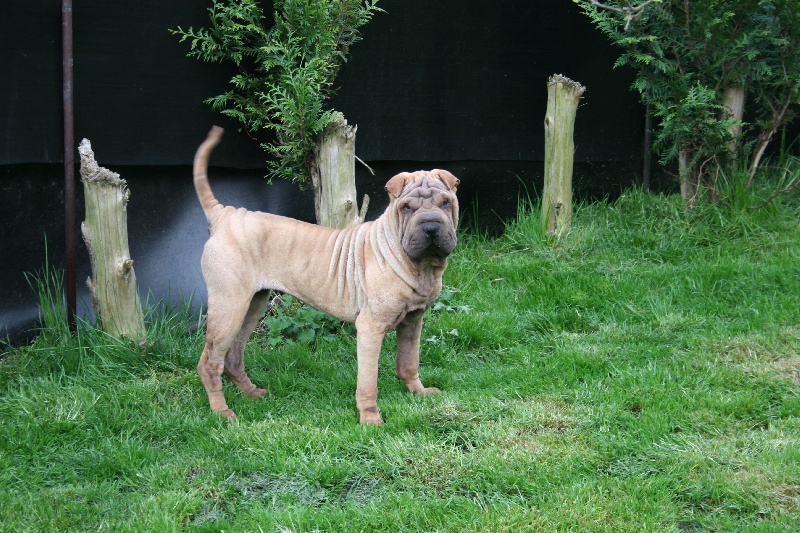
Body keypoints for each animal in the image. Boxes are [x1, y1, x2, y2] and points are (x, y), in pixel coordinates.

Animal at [193, 126, 460, 425]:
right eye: (407, 208)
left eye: (445, 203)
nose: (431, 227)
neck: (418, 265)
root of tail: (225, 214)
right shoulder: (370, 327)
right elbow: (368, 381)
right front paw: (370, 419)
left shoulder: (413, 321)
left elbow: (409, 362)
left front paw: (419, 392)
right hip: (229, 306)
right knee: (209, 363)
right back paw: (222, 412)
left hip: (252, 304)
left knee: (233, 356)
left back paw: (252, 393)